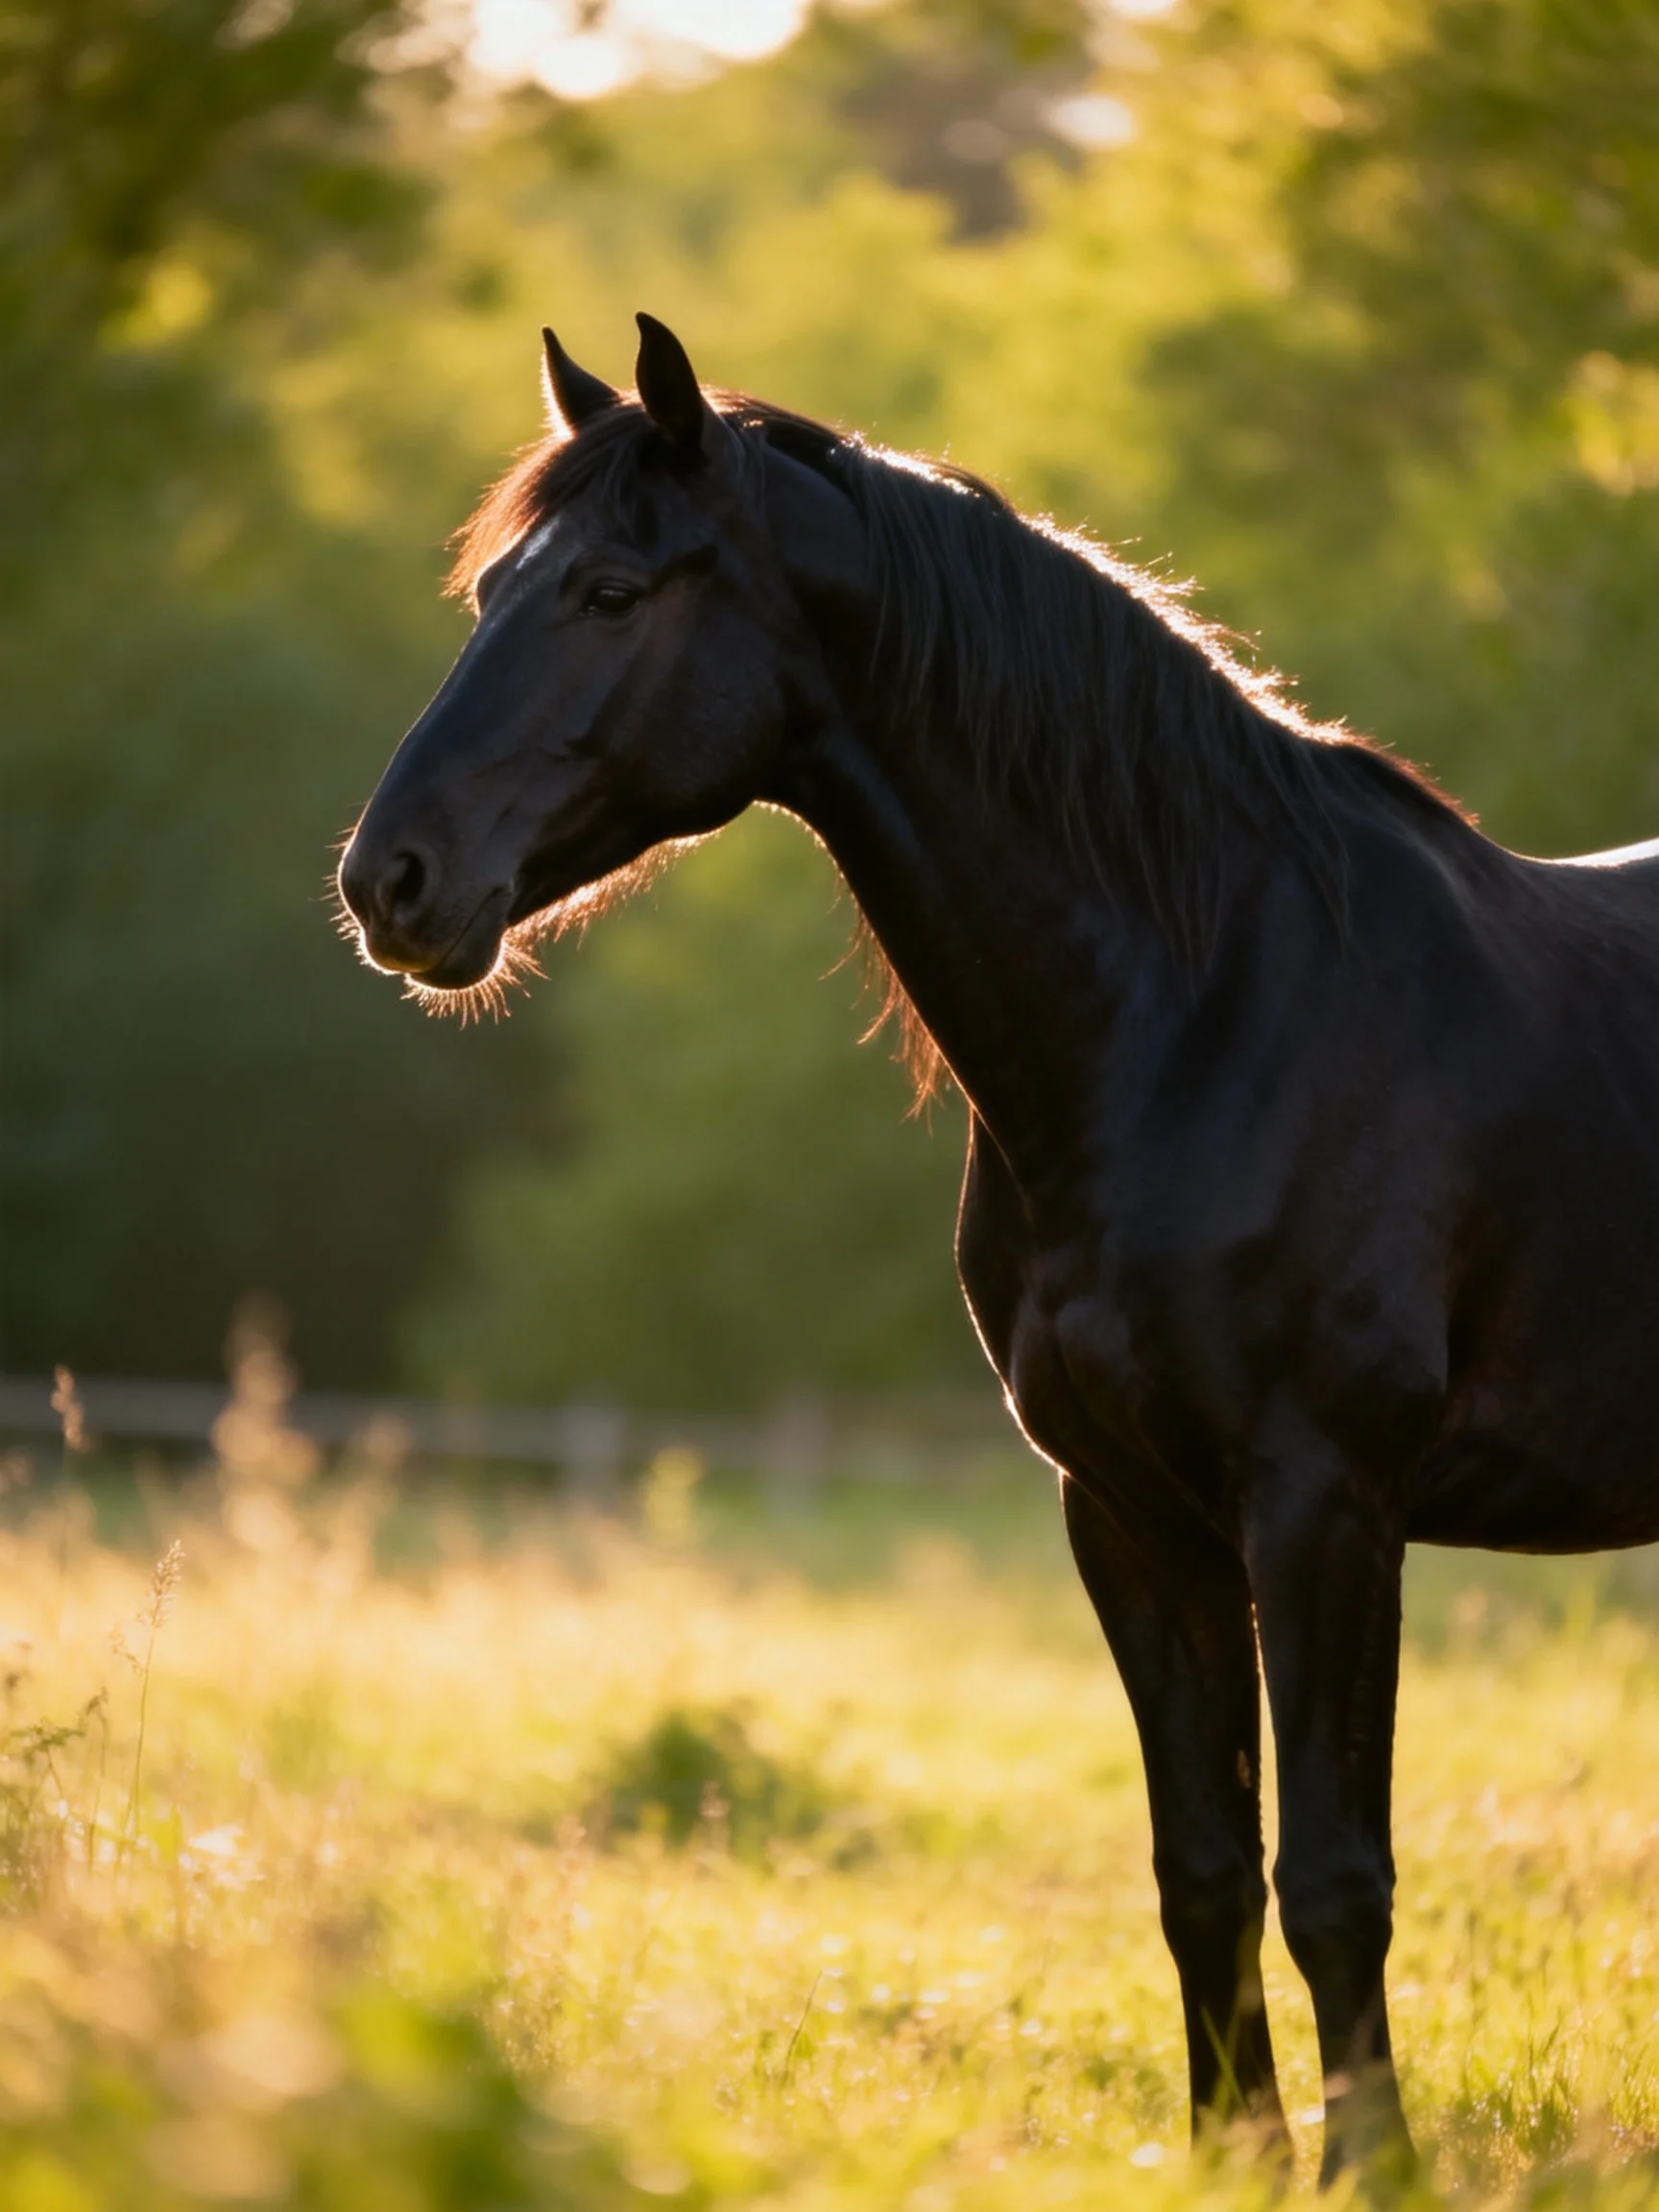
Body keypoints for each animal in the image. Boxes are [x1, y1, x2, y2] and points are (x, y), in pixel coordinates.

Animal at [339, 314, 1659, 2182]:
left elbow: (1334, 1877)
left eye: (607, 589)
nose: (390, 881)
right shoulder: (1126, 1512)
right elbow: (1200, 1872)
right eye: (490, 590)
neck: (1209, 1007)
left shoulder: (1324, 1500)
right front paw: (1233, 2161)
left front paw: (1372, 2172)